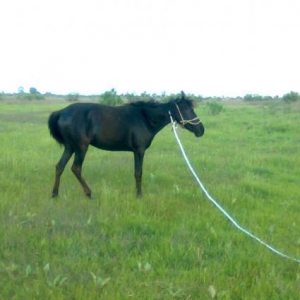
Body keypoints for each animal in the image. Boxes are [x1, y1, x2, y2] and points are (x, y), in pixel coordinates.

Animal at [48, 92, 205, 198]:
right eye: (187, 109)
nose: (201, 130)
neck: (145, 118)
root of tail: (61, 112)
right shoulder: (139, 151)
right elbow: (138, 173)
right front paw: (139, 195)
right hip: (81, 147)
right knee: (76, 168)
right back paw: (89, 193)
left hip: (70, 147)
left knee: (59, 166)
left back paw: (55, 194)